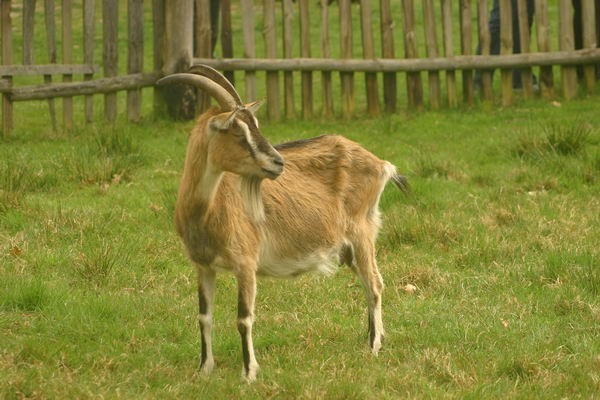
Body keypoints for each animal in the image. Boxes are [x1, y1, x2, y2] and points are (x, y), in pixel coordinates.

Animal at [157, 65, 408, 382]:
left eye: (255, 124)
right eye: (237, 130)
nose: (278, 162)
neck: (207, 211)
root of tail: (381, 164)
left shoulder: (245, 263)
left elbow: (243, 318)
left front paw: (249, 373)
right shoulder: (203, 266)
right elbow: (204, 316)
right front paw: (205, 369)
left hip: (361, 232)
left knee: (374, 284)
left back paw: (374, 347)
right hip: (351, 246)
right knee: (369, 283)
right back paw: (372, 339)